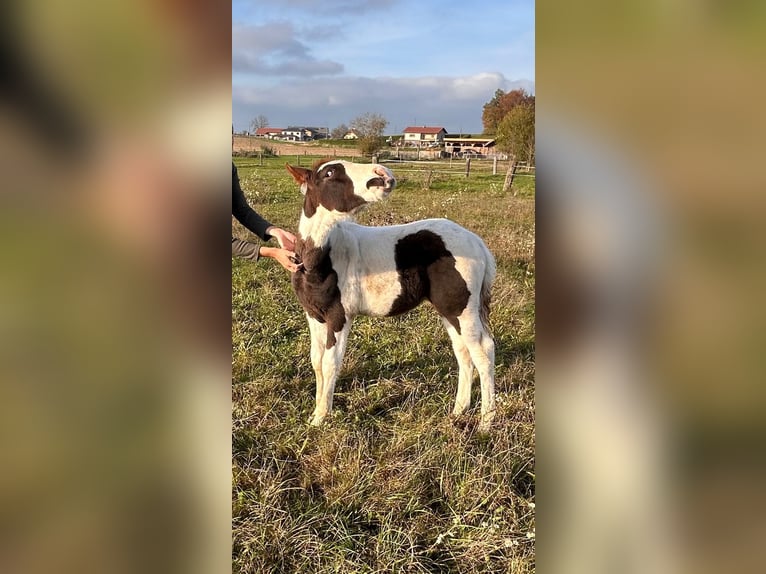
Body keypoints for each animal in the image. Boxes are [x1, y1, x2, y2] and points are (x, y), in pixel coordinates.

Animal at [288, 160, 498, 430]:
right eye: (330, 173)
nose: (383, 175)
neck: (319, 260)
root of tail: (478, 243)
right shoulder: (314, 315)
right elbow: (317, 361)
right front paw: (316, 412)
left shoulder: (339, 316)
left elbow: (330, 363)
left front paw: (320, 418)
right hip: (450, 311)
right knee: (463, 352)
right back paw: (458, 410)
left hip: (463, 309)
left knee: (483, 351)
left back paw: (485, 423)